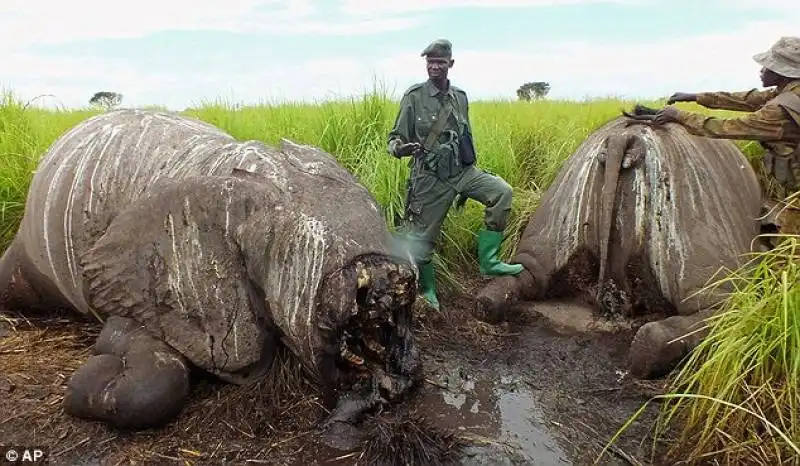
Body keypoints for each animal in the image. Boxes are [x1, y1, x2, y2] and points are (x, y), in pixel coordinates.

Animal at [476, 113, 764, 378]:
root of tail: (626, 137)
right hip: (695, 226)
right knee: (724, 309)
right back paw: (648, 351)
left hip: (560, 210)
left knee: (530, 272)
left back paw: (488, 303)